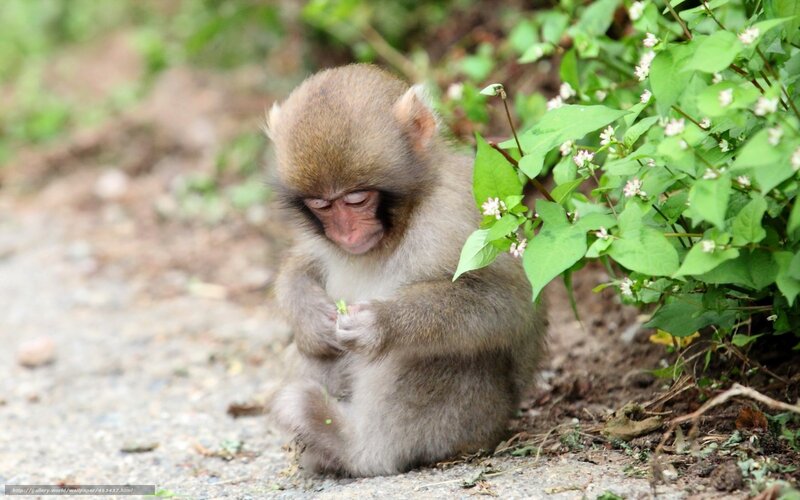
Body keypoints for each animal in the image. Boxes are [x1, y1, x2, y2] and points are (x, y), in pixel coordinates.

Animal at [266, 64, 547, 477]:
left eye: (357, 198)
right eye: (321, 205)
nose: (347, 233)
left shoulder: (454, 214)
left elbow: (508, 303)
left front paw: (381, 323)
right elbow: (302, 264)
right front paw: (311, 317)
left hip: (468, 423)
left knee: (436, 356)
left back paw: (354, 447)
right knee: (318, 354)